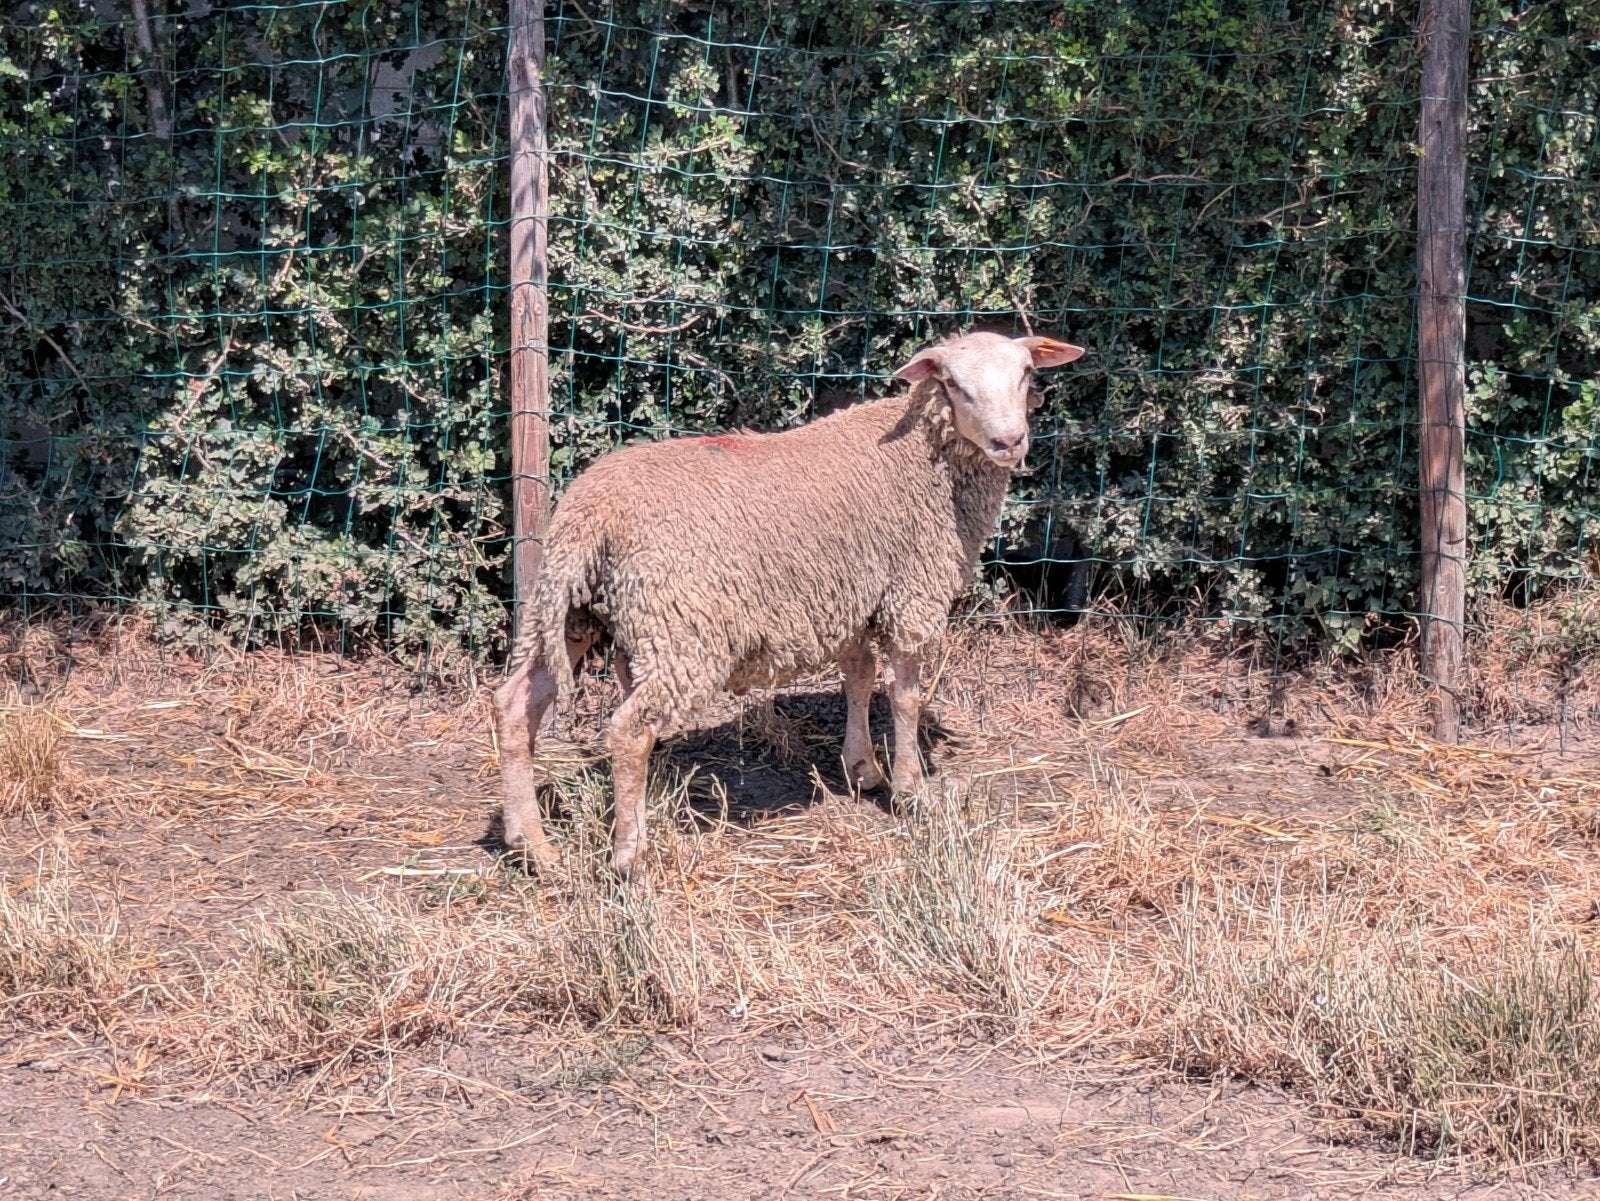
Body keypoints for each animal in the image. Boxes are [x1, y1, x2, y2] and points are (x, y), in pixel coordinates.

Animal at [493, 329, 1085, 878]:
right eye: (954, 384)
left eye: (1026, 374)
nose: (1009, 441)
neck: (925, 457)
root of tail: (589, 515)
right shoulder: (910, 594)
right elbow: (905, 698)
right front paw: (911, 791)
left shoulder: (850, 597)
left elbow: (859, 678)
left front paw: (863, 770)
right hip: (680, 631)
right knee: (629, 731)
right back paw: (629, 856)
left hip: (567, 610)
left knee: (514, 706)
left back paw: (533, 848)